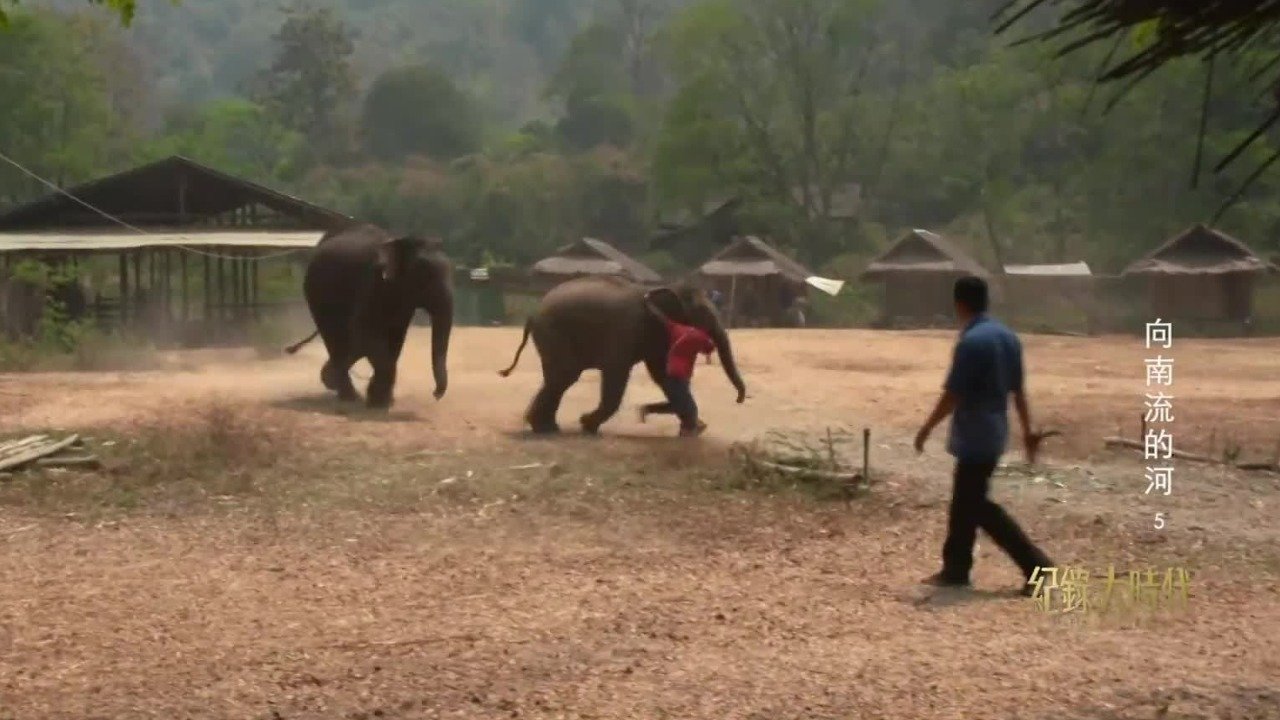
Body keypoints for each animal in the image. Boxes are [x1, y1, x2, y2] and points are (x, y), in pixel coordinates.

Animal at [285, 221, 455, 407]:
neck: (400, 243)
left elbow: (395, 338)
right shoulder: (372, 282)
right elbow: (364, 333)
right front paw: (379, 403)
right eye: (426, 276)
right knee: (335, 336)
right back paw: (349, 397)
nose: (436, 394)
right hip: (316, 293)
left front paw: (382, 401)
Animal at [494, 274, 747, 430]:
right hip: (553, 333)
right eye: (703, 314)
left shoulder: (654, 334)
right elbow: (616, 373)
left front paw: (696, 427)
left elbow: (662, 375)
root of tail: (532, 315)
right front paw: (587, 423)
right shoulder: (626, 330)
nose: (739, 399)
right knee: (564, 376)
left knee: (559, 378)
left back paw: (546, 427)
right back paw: (544, 428)